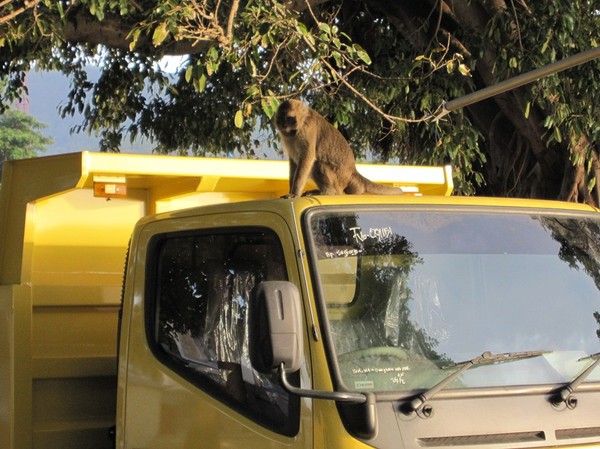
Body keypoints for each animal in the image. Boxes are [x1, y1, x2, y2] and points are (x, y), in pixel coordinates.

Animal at [274, 99, 406, 197]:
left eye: (290, 118)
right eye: (281, 118)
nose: (284, 125)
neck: (301, 123)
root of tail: (353, 171)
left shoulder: (307, 131)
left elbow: (307, 158)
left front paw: (295, 193)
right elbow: (294, 161)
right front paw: (291, 190)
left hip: (338, 180)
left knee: (318, 164)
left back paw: (328, 192)